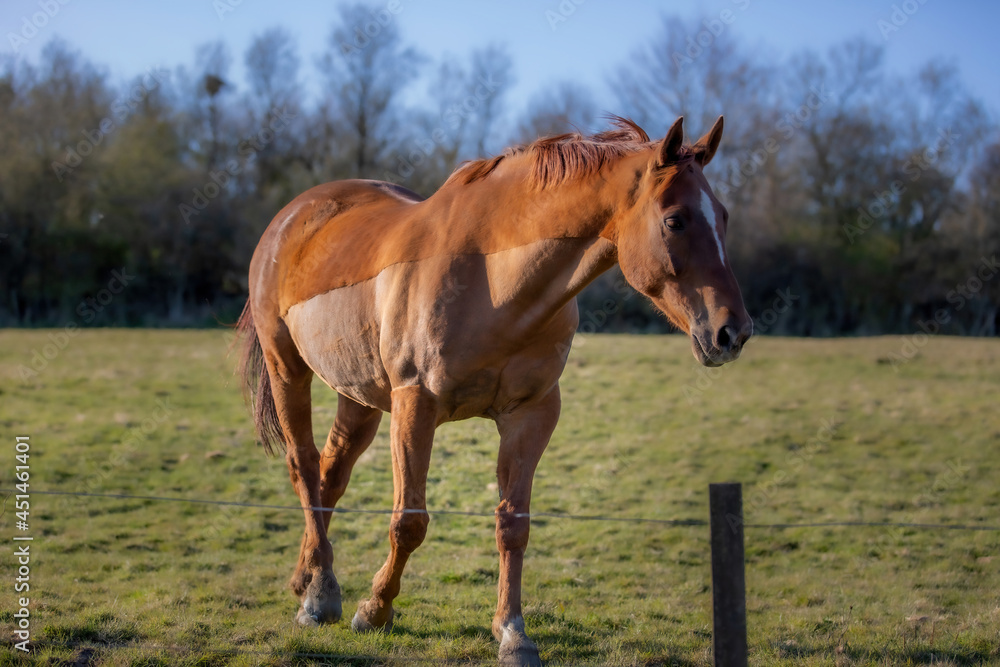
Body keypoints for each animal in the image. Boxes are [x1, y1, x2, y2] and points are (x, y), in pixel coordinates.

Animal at [234, 117, 752, 664]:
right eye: (675, 220)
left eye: (722, 216)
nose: (732, 333)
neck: (494, 282)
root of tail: (291, 215)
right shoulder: (415, 406)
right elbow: (409, 521)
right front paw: (373, 610)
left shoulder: (532, 414)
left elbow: (513, 525)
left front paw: (512, 633)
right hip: (287, 369)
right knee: (304, 467)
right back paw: (319, 597)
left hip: (358, 394)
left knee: (330, 476)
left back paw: (309, 580)